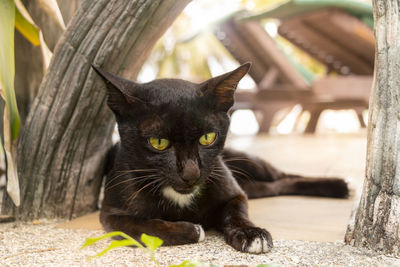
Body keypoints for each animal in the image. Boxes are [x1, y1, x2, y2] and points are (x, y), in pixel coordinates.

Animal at [92, 63, 348, 254]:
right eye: (158, 142)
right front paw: (191, 230)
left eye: (208, 137)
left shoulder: (235, 194)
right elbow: (143, 226)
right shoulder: (111, 213)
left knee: (284, 175)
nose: (191, 173)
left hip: (248, 163)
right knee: (277, 186)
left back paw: (339, 185)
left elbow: (235, 214)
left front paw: (250, 233)